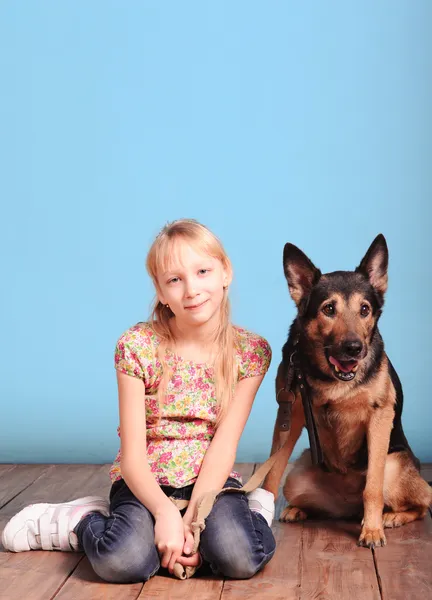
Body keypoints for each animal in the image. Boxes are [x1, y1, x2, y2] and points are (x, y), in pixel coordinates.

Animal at [264, 234, 432, 548]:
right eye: (329, 309)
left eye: (364, 309)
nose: (354, 348)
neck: (333, 380)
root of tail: (346, 505)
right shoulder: (289, 414)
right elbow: (271, 473)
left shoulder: (379, 418)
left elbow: (372, 488)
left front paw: (373, 530)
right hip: (297, 478)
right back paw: (298, 508)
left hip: (394, 465)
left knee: (422, 502)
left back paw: (390, 517)